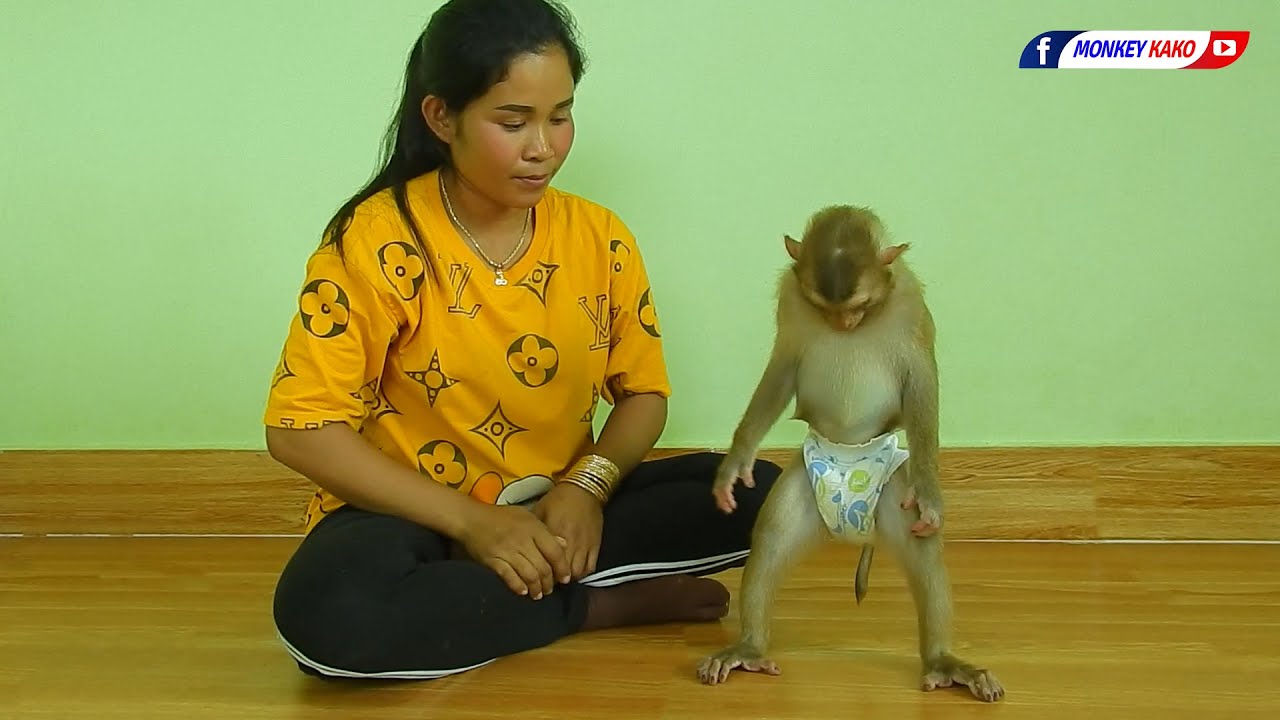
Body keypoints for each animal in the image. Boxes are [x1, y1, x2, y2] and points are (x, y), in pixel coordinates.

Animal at [696, 205, 1004, 702]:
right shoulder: (790, 302)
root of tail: (854, 532)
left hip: (893, 496)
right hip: (806, 485)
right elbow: (782, 370)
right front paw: (736, 462)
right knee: (773, 537)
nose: (842, 326)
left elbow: (921, 385)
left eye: (858, 306)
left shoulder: (911, 306)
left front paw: (931, 490)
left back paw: (943, 660)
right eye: (824, 308)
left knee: (923, 553)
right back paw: (749, 647)